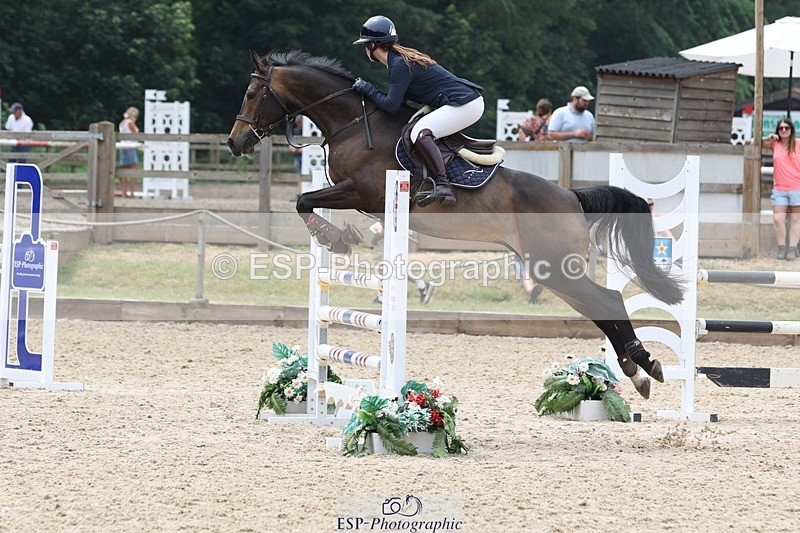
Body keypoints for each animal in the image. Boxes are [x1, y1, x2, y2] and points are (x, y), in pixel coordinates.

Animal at [227, 49, 685, 399]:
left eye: (251, 93)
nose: (235, 142)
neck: (353, 123)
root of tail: (572, 197)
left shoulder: (362, 193)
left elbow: (303, 200)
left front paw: (334, 238)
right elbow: (309, 201)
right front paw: (340, 236)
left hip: (555, 266)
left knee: (609, 300)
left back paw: (644, 365)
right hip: (550, 269)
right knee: (600, 307)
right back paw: (637, 370)